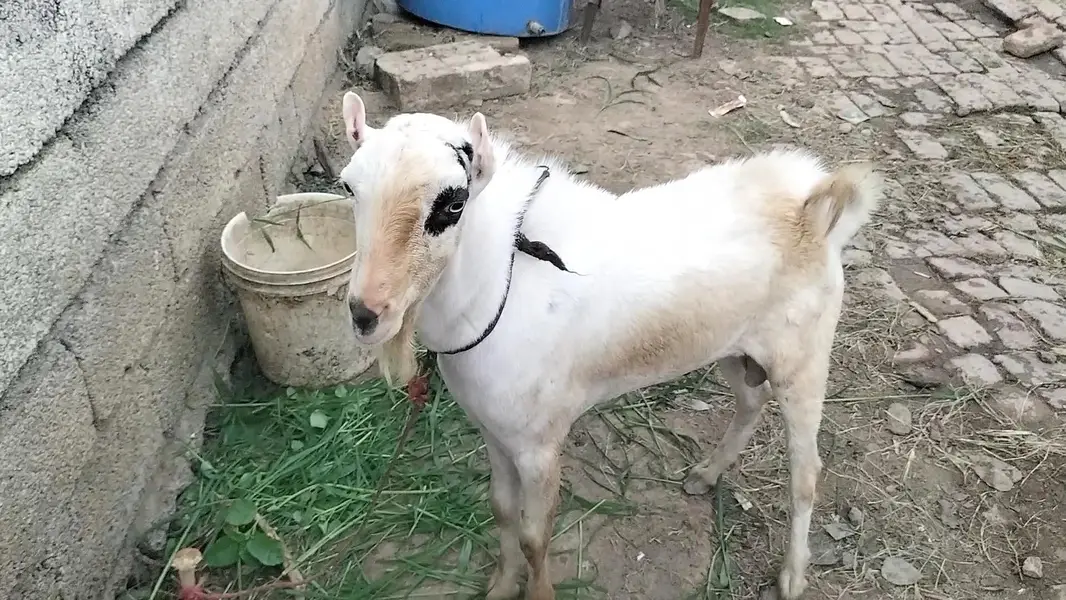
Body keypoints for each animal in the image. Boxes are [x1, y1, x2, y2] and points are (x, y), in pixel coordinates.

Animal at [338, 91, 882, 600]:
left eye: (453, 203)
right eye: (349, 188)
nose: (366, 315)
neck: (500, 286)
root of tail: (813, 210)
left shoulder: (539, 445)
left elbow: (535, 535)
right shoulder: (492, 430)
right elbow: (501, 509)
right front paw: (500, 585)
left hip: (804, 359)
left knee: (805, 471)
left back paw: (792, 576)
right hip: (734, 347)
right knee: (750, 401)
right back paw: (706, 475)